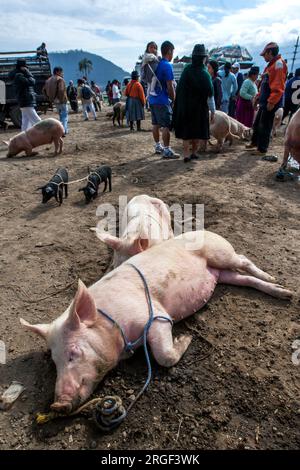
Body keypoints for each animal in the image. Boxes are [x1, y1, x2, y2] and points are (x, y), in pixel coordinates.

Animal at [19, 229, 292, 414]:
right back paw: (285, 293)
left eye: (74, 352)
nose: (57, 404)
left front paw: (186, 337)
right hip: (223, 274)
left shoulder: (157, 317)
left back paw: (277, 281)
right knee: (244, 279)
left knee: (244, 259)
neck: (116, 329)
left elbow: (163, 356)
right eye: (54, 361)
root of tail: (205, 230)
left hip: (221, 254)